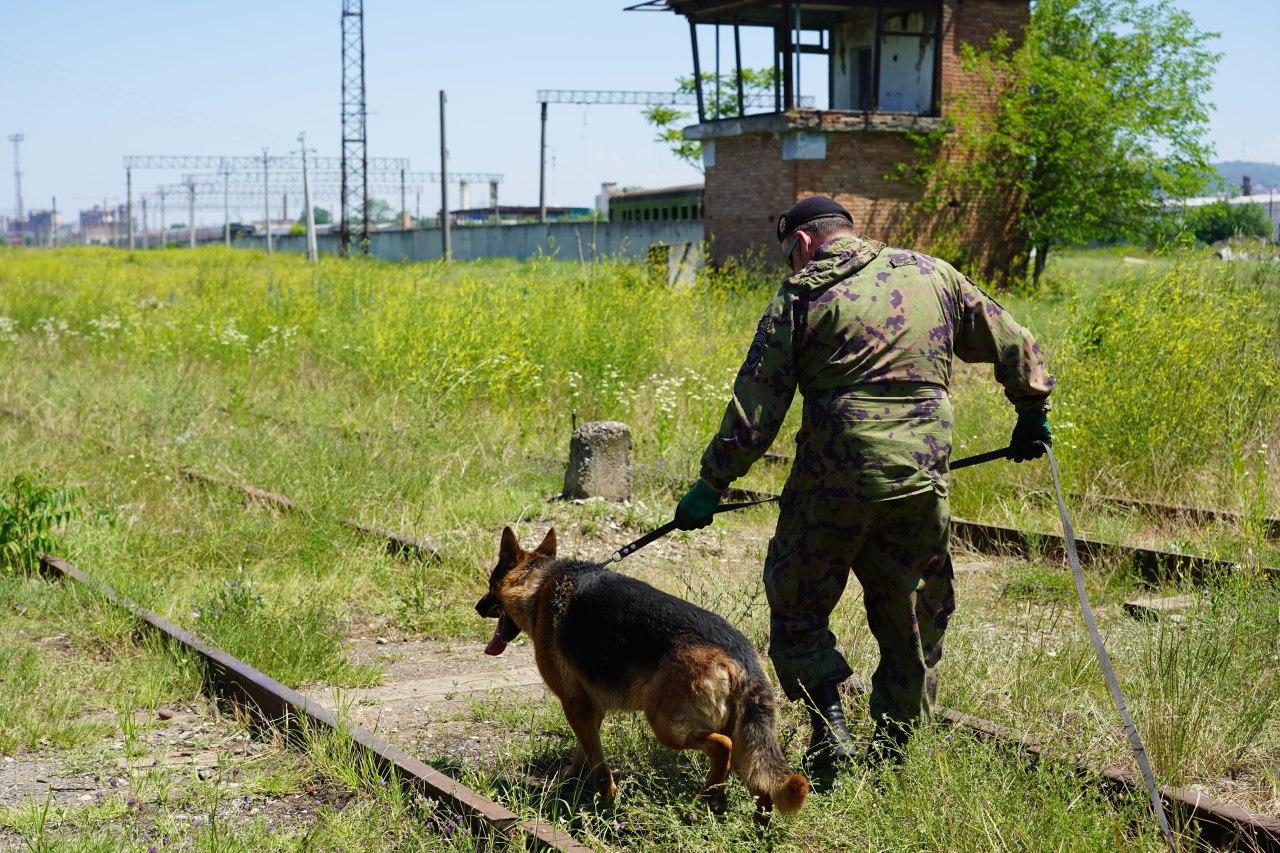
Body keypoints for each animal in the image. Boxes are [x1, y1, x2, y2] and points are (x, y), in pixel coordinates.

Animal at [475, 526, 808, 816]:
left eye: (490, 586)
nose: (478, 607)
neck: (538, 582)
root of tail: (741, 657)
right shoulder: (589, 708)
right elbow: (585, 751)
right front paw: (570, 782)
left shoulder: (574, 703)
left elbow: (597, 761)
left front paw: (607, 798)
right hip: (738, 736)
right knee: (760, 782)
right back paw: (755, 820)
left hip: (666, 724)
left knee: (721, 747)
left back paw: (705, 798)